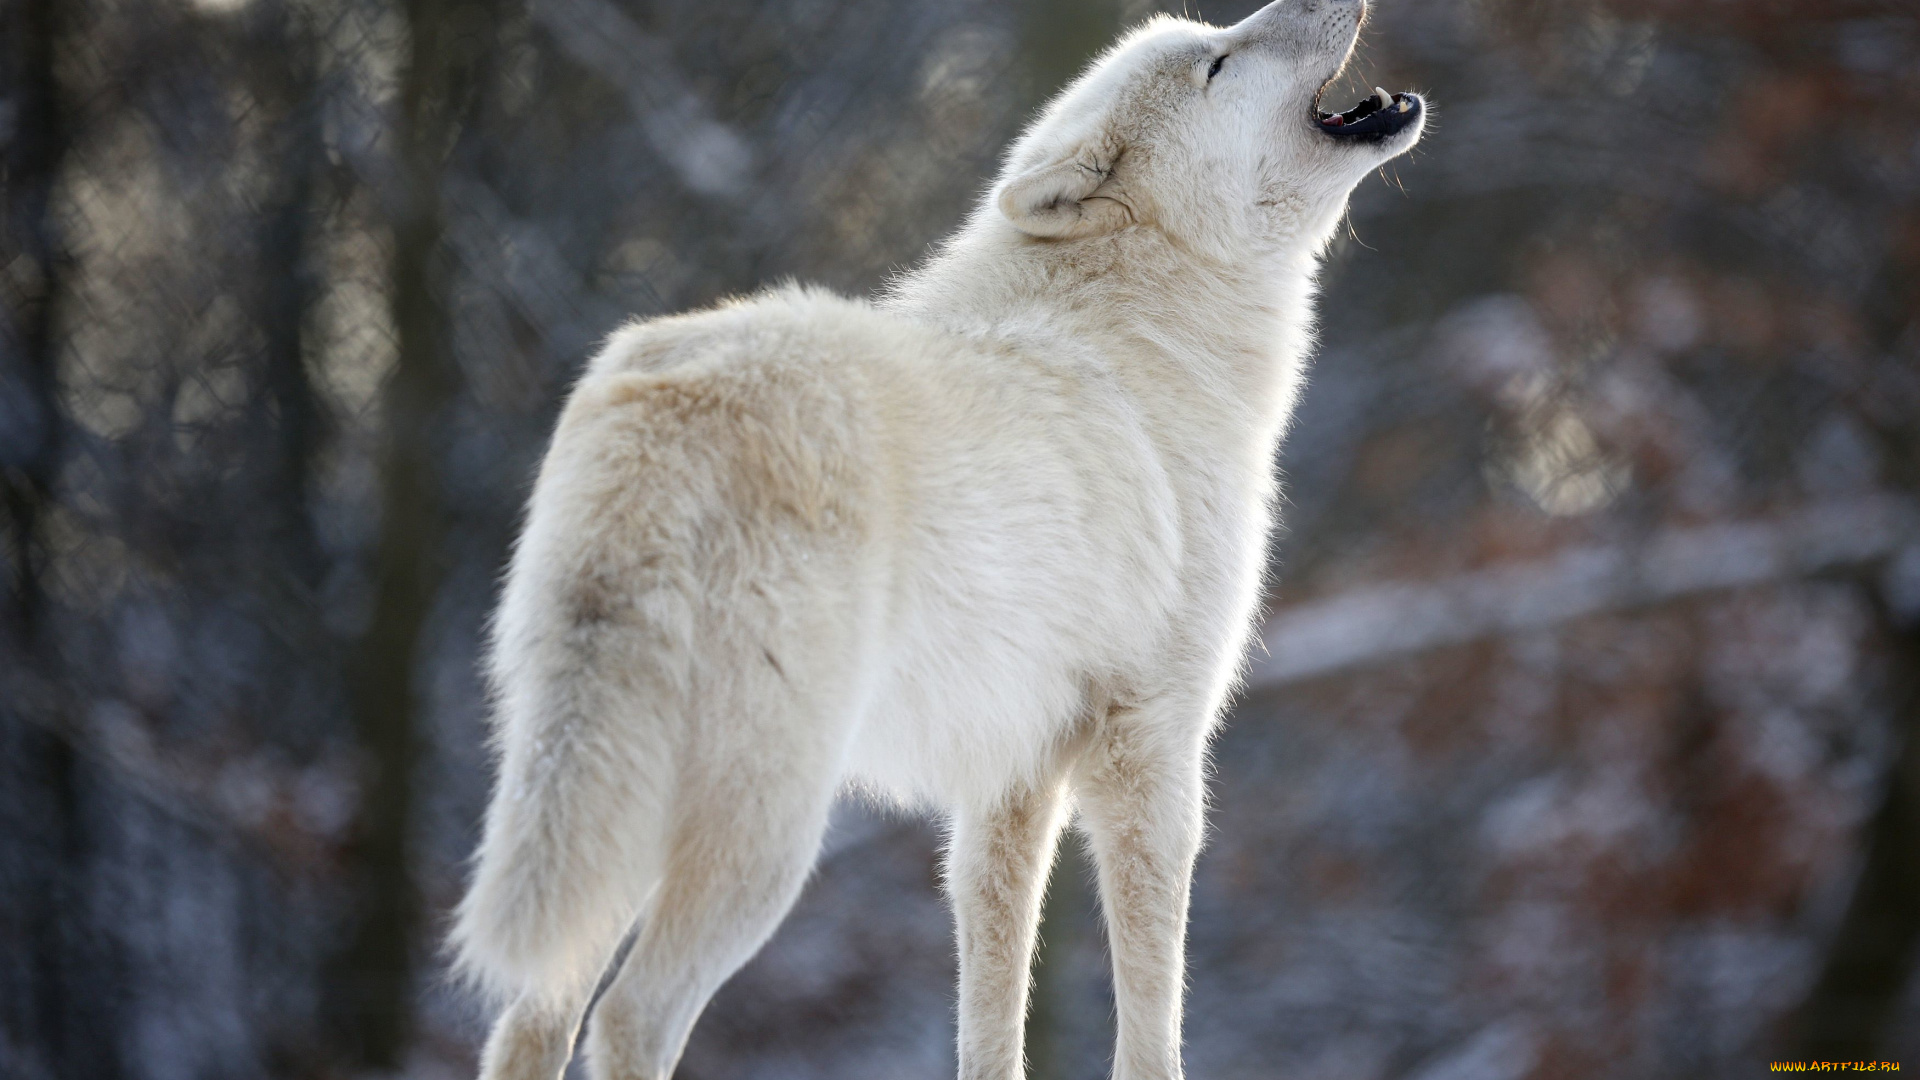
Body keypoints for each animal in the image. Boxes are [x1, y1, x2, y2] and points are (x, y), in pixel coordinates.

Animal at [452, 1, 1424, 1076]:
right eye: (1217, 61)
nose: (1331, 2)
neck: (1149, 332)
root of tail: (661, 407)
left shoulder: (1010, 775)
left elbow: (992, 1013)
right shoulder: (1152, 747)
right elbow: (1151, 1019)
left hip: (617, 804)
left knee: (531, 1017)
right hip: (764, 832)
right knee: (629, 1013)